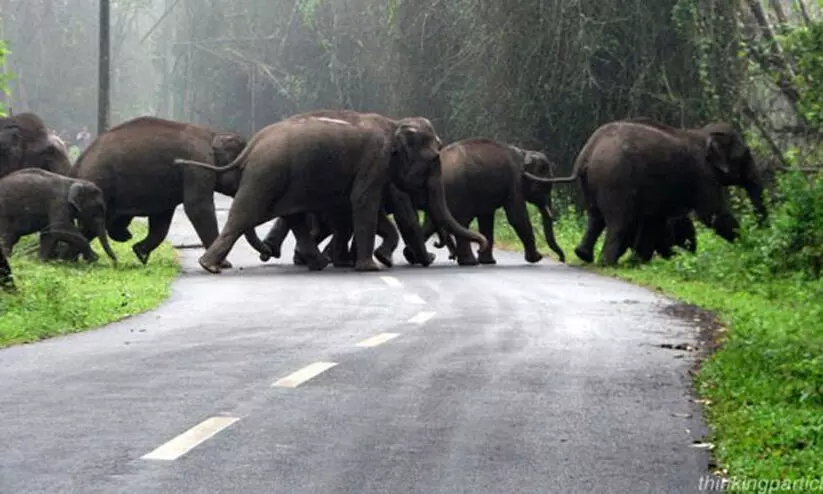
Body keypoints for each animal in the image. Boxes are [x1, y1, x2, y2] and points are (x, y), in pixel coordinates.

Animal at [66, 116, 246, 264]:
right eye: (242, 169)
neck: (214, 135)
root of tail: (77, 164)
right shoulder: (196, 164)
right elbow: (197, 207)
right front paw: (225, 264)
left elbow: (162, 218)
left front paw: (140, 253)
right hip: (101, 183)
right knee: (91, 226)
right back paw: (69, 258)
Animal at [172, 115, 482, 274]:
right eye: (433, 158)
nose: (481, 241)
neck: (394, 124)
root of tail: (254, 144)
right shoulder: (375, 160)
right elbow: (366, 203)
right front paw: (372, 267)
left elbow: (364, 209)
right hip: (266, 174)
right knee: (245, 214)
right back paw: (210, 266)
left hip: (287, 178)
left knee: (293, 216)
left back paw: (314, 262)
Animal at [418, 135, 568, 266]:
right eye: (545, 186)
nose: (562, 259)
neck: (524, 153)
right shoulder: (515, 182)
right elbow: (517, 217)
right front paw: (536, 258)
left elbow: (487, 219)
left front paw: (488, 261)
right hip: (458, 189)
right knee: (462, 221)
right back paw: (469, 262)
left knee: (431, 223)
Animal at [528, 119, 760, 266]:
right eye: (746, 154)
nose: (763, 228)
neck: (703, 133)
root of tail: (587, 154)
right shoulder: (703, 176)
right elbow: (714, 215)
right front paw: (751, 245)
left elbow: (653, 218)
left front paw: (638, 262)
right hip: (616, 179)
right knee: (619, 221)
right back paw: (607, 263)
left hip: (592, 183)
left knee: (595, 217)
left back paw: (585, 256)